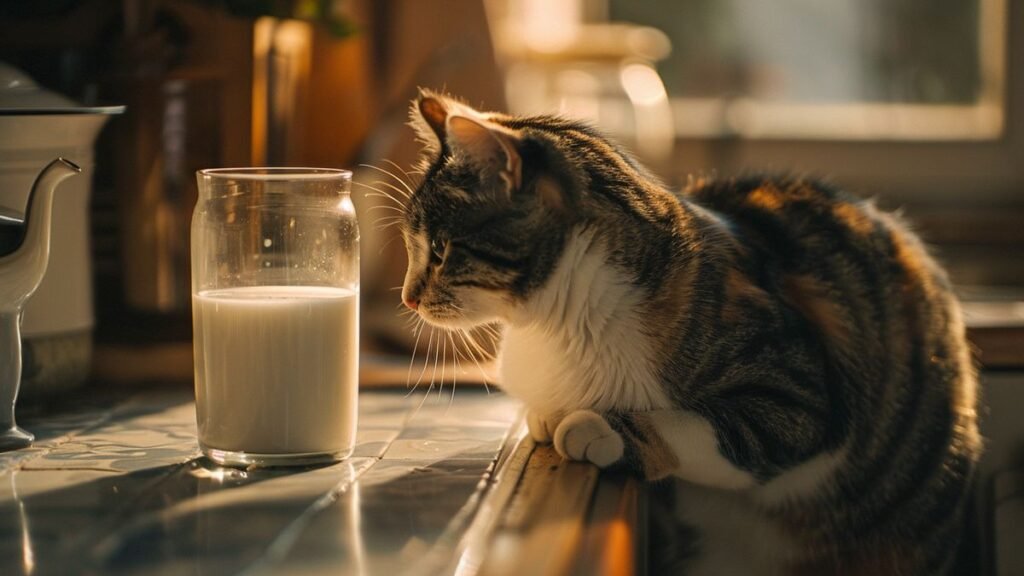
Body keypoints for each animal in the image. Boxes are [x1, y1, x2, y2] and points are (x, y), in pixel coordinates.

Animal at [395, 90, 978, 573]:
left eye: (441, 250)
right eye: (412, 245)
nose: (407, 297)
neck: (555, 324)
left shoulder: (800, 396)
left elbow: (709, 428)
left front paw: (601, 427)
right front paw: (550, 413)